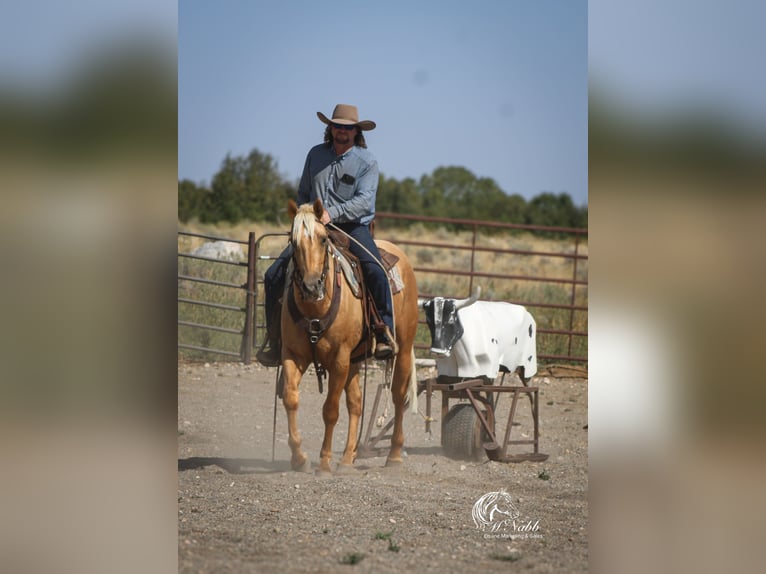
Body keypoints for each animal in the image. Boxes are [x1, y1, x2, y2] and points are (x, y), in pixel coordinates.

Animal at [281, 198, 419, 474]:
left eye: (323, 239)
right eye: (293, 240)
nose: (311, 287)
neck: (315, 309)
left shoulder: (339, 359)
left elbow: (330, 410)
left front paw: (324, 462)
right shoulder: (293, 355)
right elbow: (291, 399)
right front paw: (299, 457)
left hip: (402, 348)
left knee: (399, 397)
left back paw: (394, 455)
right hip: (355, 361)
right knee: (356, 403)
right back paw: (347, 458)